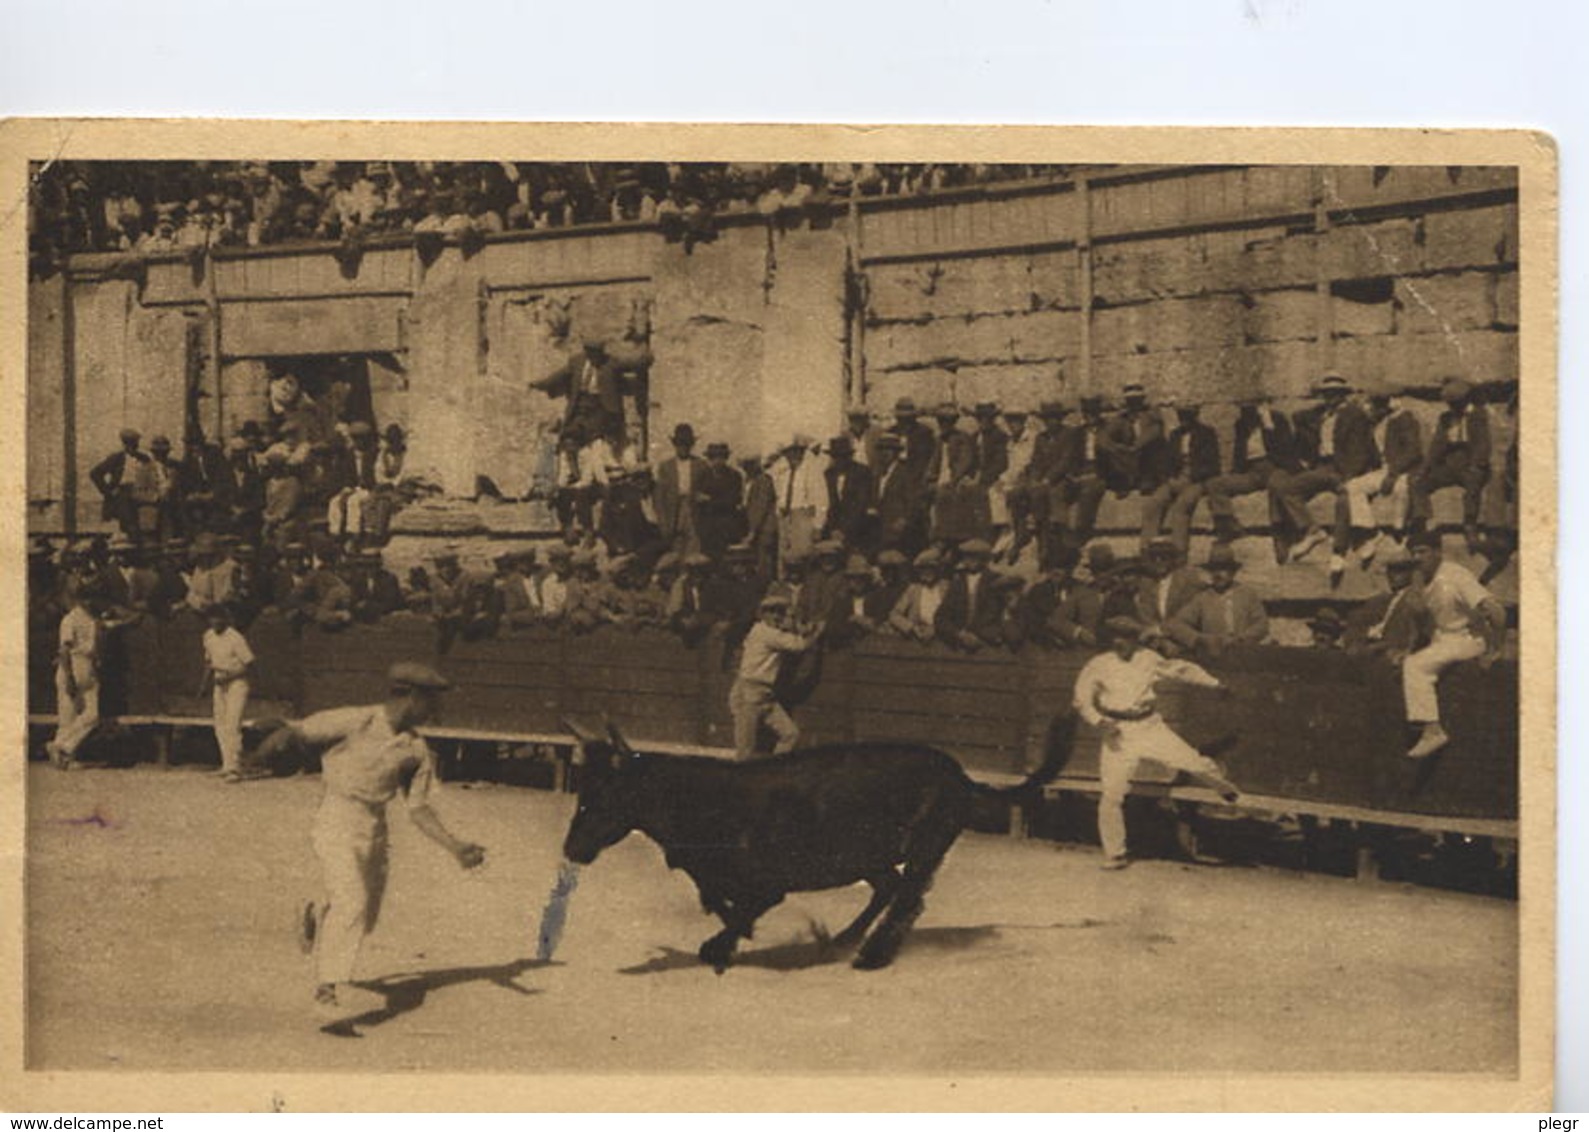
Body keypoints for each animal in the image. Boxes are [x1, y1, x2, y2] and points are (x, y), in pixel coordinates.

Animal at [562, 715, 1080, 973]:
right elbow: (717, 900)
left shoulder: (769, 885)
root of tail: (961, 775)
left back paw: (872, 956)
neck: (702, 800)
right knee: (888, 888)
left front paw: (720, 947)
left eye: (604, 795)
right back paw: (845, 939)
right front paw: (730, 938)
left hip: (926, 845)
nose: (572, 849)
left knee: (908, 897)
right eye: (581, 789)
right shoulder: (714, 875)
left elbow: (740, 911)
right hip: (869, 855)